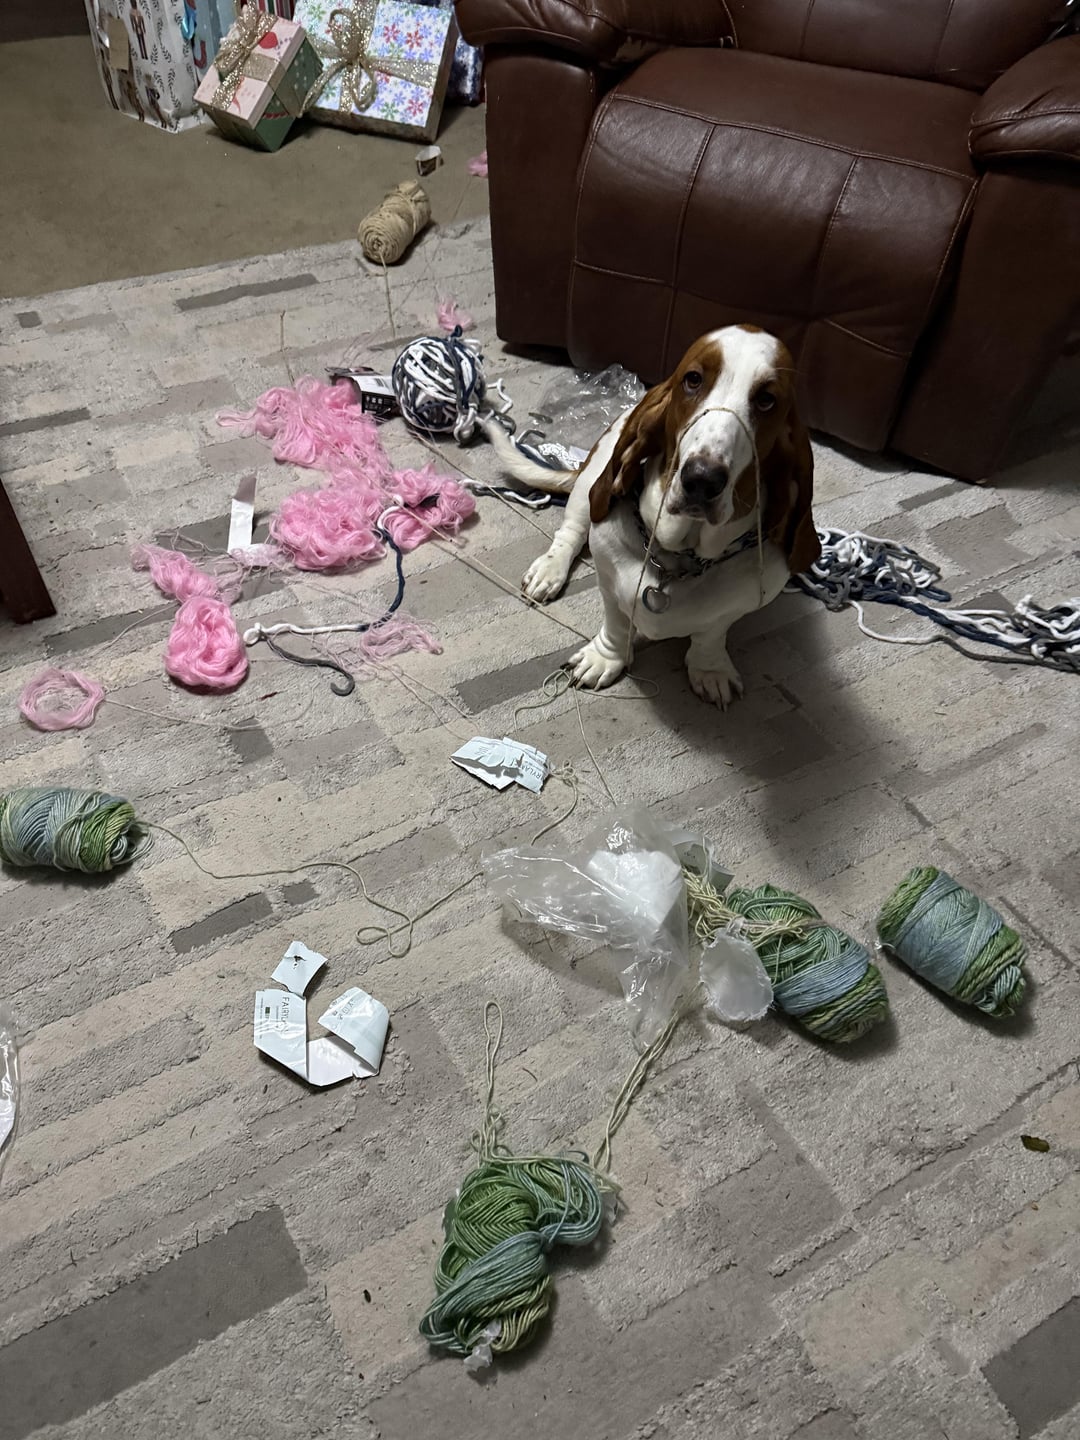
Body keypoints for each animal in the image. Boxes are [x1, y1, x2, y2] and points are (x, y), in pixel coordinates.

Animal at [487, 325, 821, 708]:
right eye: (693, 380)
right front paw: (605, 658)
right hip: (592, 480)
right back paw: (548, 571)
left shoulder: (740, 604)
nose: (702, 479)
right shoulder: (609, 583)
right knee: (570, 533)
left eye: (766, 400)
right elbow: (617, 624)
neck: (680, 556)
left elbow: (711, 634)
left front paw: (710, 669)